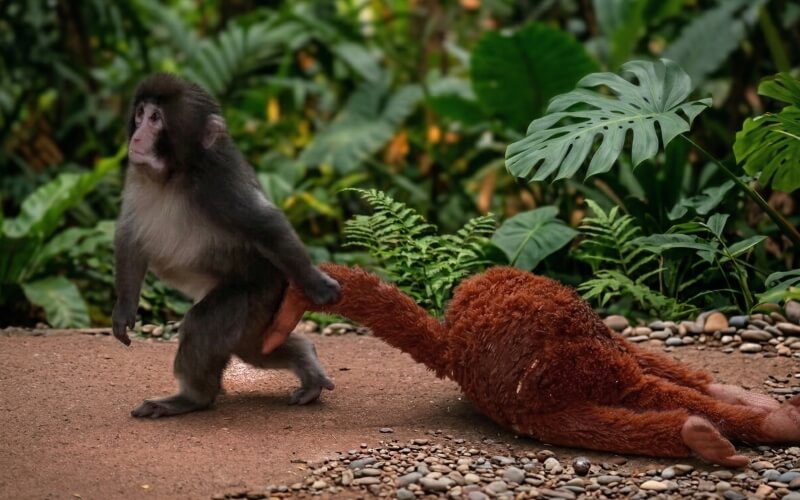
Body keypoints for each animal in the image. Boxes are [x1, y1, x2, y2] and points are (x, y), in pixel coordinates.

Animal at [112, 73, 340, 418]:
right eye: (140, 114)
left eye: (155, 119)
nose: (137, 137)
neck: (175, 174)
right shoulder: (137, 175)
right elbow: (130, 236)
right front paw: (124, 309)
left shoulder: (219, 184)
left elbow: (265, 224)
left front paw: (317, 284)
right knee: (255, 347)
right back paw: (307, 364)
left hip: (257, 293)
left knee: (204, 327)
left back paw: (193, 398)